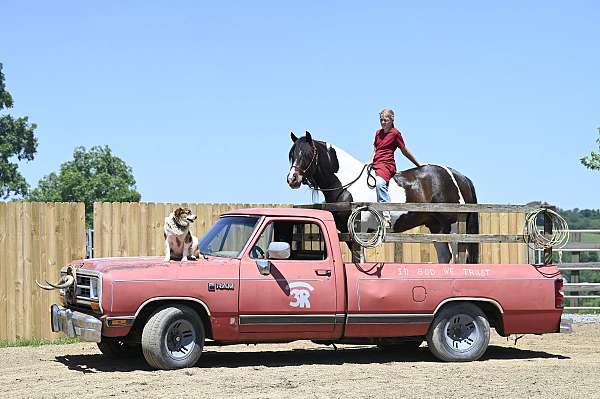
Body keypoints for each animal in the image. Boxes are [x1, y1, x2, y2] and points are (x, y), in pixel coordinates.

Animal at [288, 130, 480, 266]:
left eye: (306, 154)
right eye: (292, 155)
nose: (292, 179)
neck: (347, 184)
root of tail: (460, 177)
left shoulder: (360, 231)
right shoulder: (347, 233)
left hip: (454, 228)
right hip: (437, 228)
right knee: (445, 256)